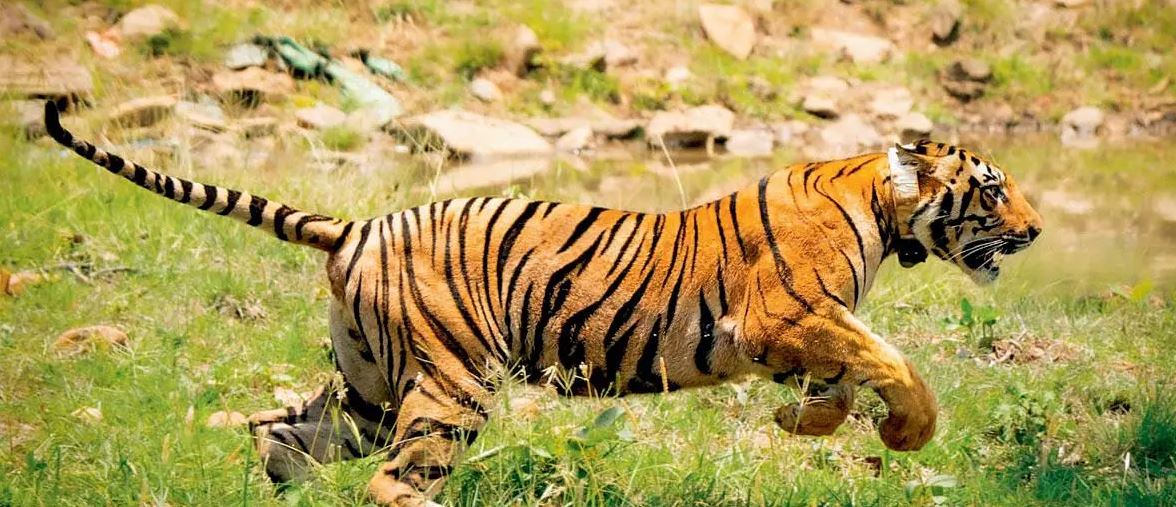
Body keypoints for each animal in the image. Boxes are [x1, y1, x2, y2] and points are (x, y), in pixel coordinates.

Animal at [43, 101, 1042, 506]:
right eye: (994, 190)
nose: (1034, 232)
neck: (882, 206)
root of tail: (357, 225)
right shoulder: (784, 316)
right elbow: (891, 360)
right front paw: (906, 430)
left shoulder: (795, 333)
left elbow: (842, 378)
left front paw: (807, 422)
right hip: (451, 381)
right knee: (393, 479)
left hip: (368, 388)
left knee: (283, 432)